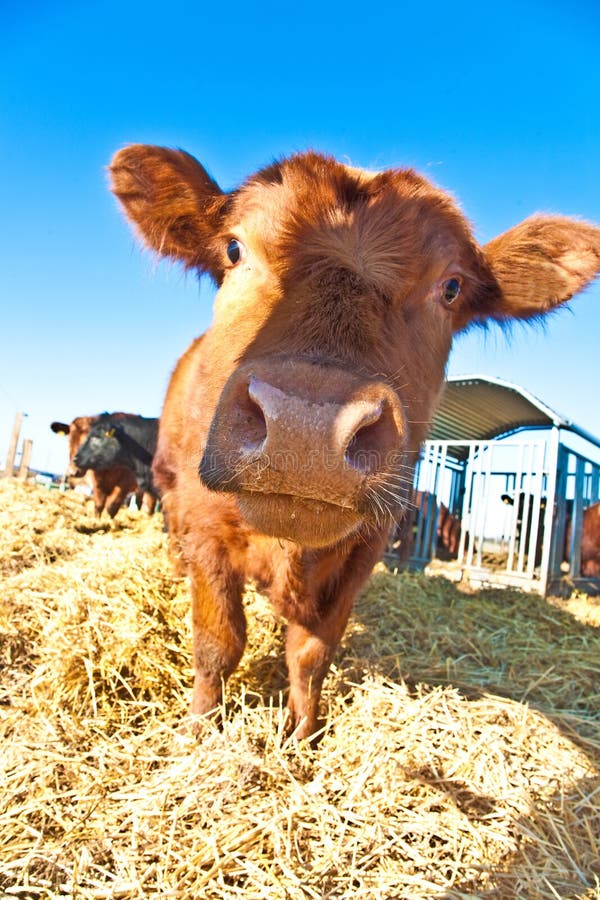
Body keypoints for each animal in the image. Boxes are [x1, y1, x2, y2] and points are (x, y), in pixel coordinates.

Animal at [109, 146, 600, 740]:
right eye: (234, 248)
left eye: (451, 287)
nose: (307, 423)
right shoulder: (206, 528)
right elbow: (217, 642)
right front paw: (200, 729)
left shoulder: (365, 549)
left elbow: (311, 653)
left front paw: (301, 734)